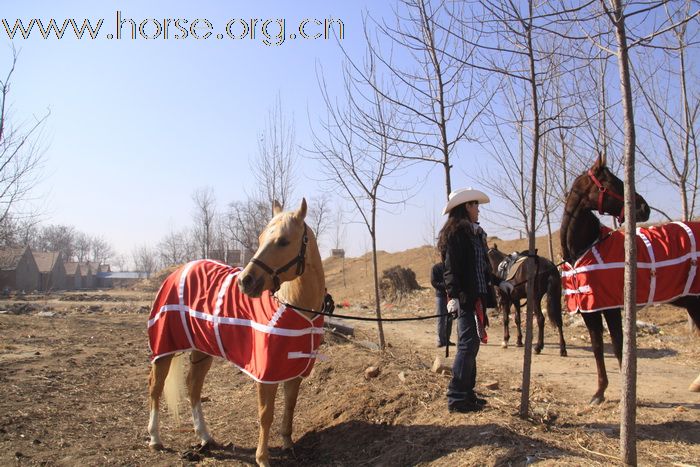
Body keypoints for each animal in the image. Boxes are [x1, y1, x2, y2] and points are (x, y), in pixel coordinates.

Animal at [147, 199, 326, 466]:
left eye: (283, 241)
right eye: (261, 238)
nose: (245, 281)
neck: (294, 306)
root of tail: (179, 270)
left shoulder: (295, 370)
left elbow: (290, 407)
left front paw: (288, 444)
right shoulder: (265, 374)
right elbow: (266, 414)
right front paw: (262, 458)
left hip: (202, 350)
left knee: (193, 387)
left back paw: (205, 437)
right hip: (165, 349)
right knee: (156, 387)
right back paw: (155, 438)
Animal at [564, 154, 700, 406]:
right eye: (611, 183)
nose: (644, 208)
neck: (585, 248)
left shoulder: (610, 307)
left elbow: (619, 346)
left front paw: (626, 396)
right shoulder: (589, 310)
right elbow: (597, 346)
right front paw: (599, 393)